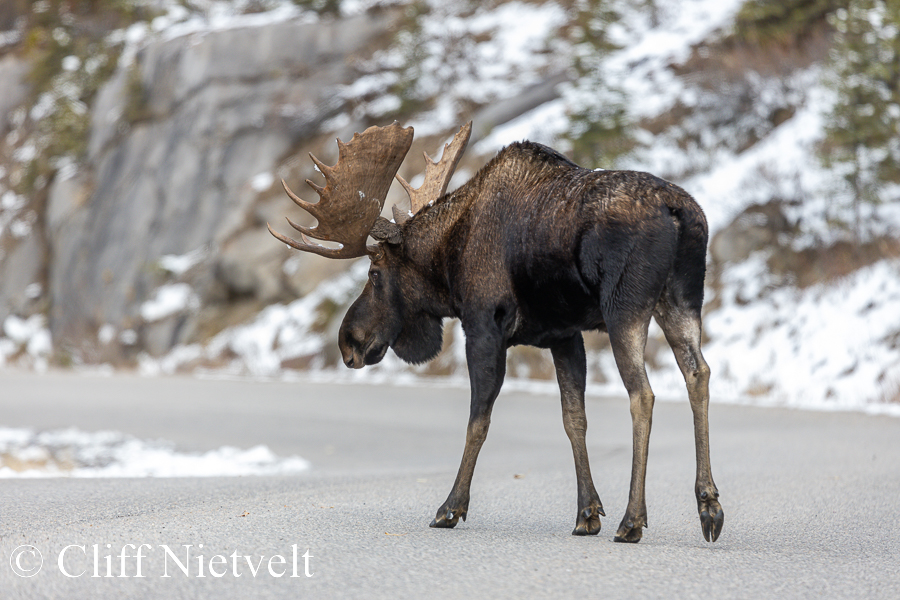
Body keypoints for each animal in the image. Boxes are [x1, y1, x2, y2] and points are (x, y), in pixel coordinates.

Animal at [268, 120, 724, 544]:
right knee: (698, 373)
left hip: (623, 307)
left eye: (374, 273)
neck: (448, 260)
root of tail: (679, 212)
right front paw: (587, 513)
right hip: (681, 300)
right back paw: (709, 506)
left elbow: (478, 421)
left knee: (642, 393)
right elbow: (573, 418)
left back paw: (633, 520)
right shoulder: (564, 335)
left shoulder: (484, 326)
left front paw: (450, 507)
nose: (348, 341)